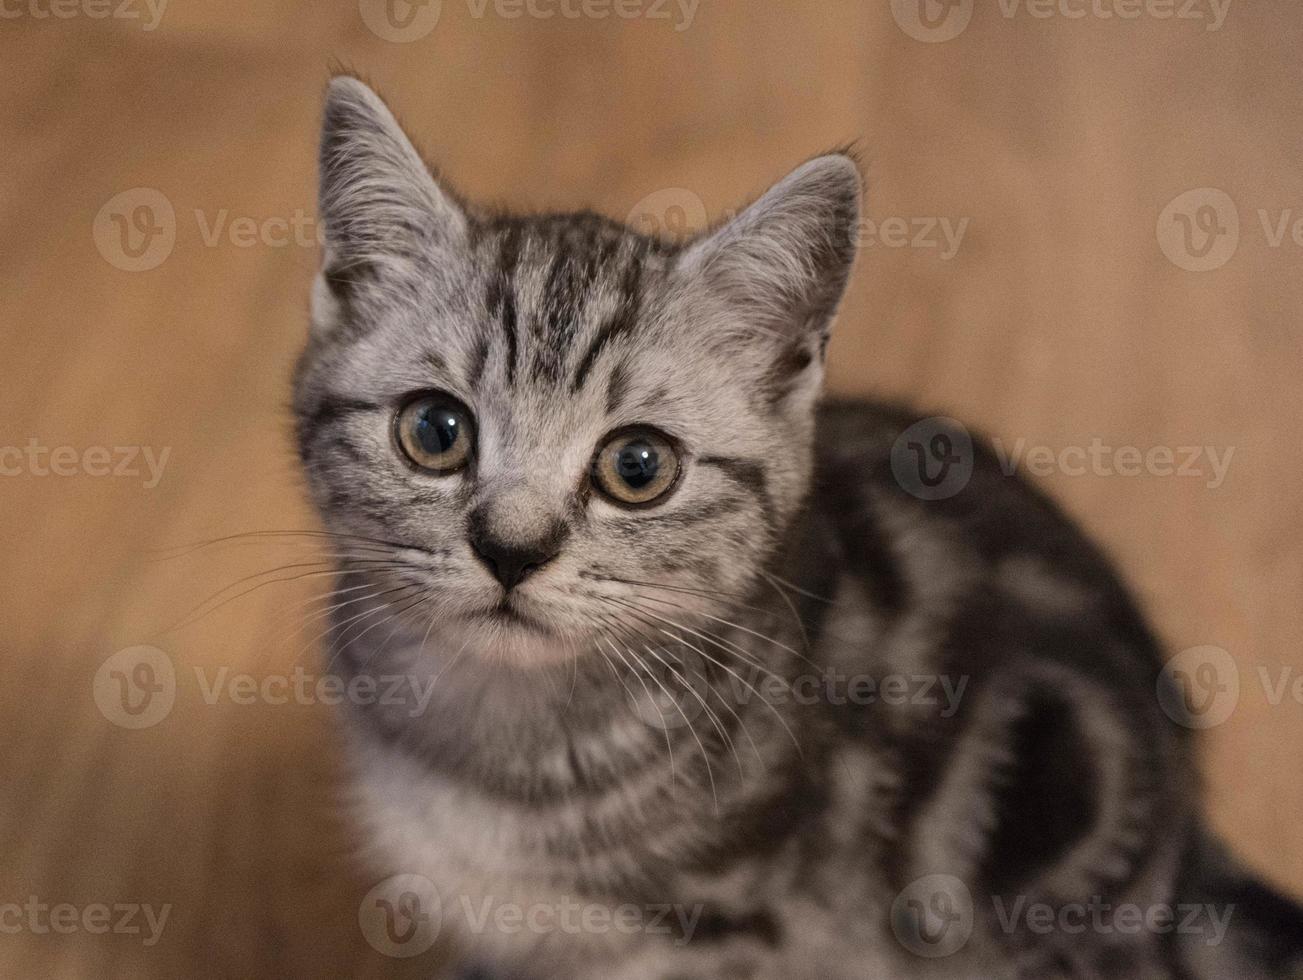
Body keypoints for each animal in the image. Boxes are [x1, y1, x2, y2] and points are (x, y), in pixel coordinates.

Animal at [295, 78, 1303, 980]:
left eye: (637, 467)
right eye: (434, 432)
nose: (512, 548)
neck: (496, 743)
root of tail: (1185, 851)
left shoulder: (727, 934)